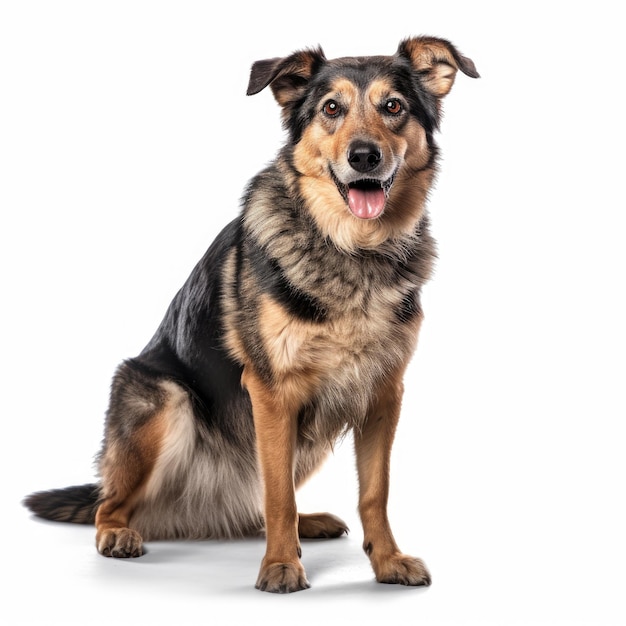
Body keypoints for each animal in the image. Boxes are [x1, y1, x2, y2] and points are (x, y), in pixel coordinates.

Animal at [22, 35, 476, 588]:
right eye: (331, 109)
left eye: (393, 107)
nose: (364, 156)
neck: (351, 248)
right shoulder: (273, 392)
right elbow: (277, 494)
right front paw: (280, 565)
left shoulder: (382, 394)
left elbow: (375, 492)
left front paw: (387, 560)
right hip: (166, 401)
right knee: (114, 503)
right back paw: (118, 533)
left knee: (251, 505)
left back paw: (308, 522)